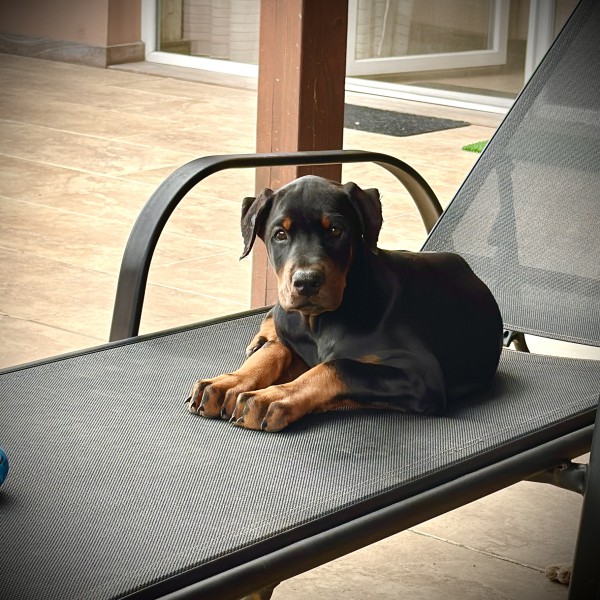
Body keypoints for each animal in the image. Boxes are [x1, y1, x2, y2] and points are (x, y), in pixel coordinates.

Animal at [187, 175, 503, 432]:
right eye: (280, 234)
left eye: (336, 230)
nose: (306, 282)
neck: (317, 323)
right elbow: (276, 351)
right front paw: (230, 381)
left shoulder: (422, 375)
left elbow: (337, 366)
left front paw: (272, 395)